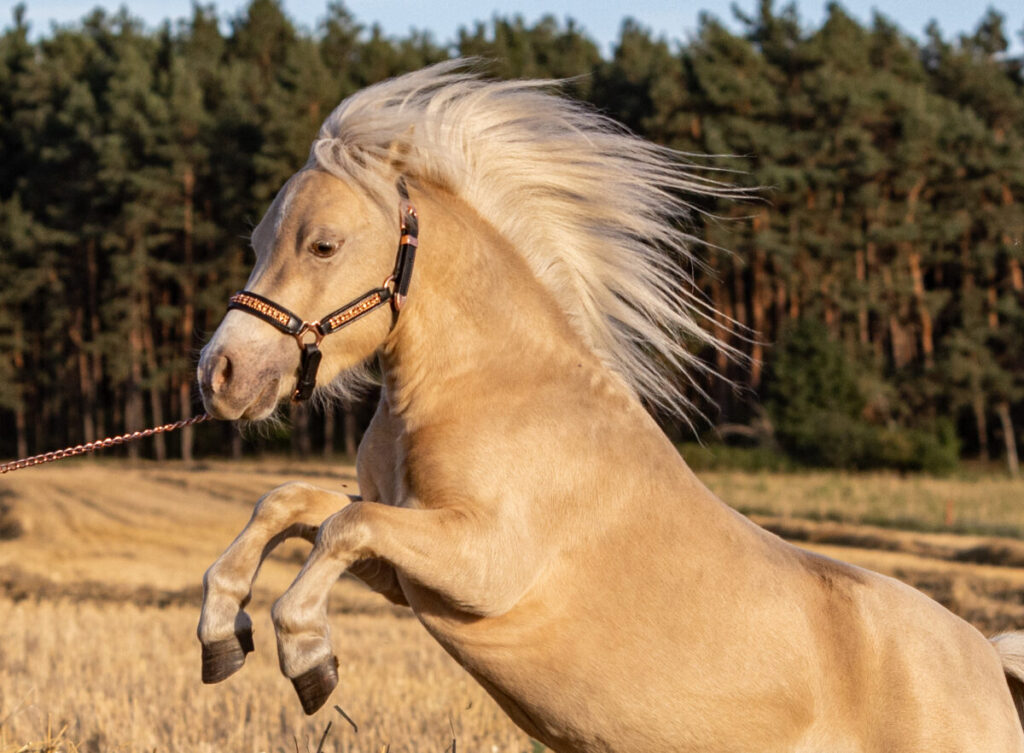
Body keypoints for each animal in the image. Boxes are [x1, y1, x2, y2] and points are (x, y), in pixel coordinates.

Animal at [195, 61, 1024, 752]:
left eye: (324, 245)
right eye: (260, 240)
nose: (221, 373)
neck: (496, 386)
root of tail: (989, 660)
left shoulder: (481, 563)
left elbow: (341, 524)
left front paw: (308, 658)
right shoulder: (406, 570)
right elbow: (290, 503)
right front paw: (221, 633)